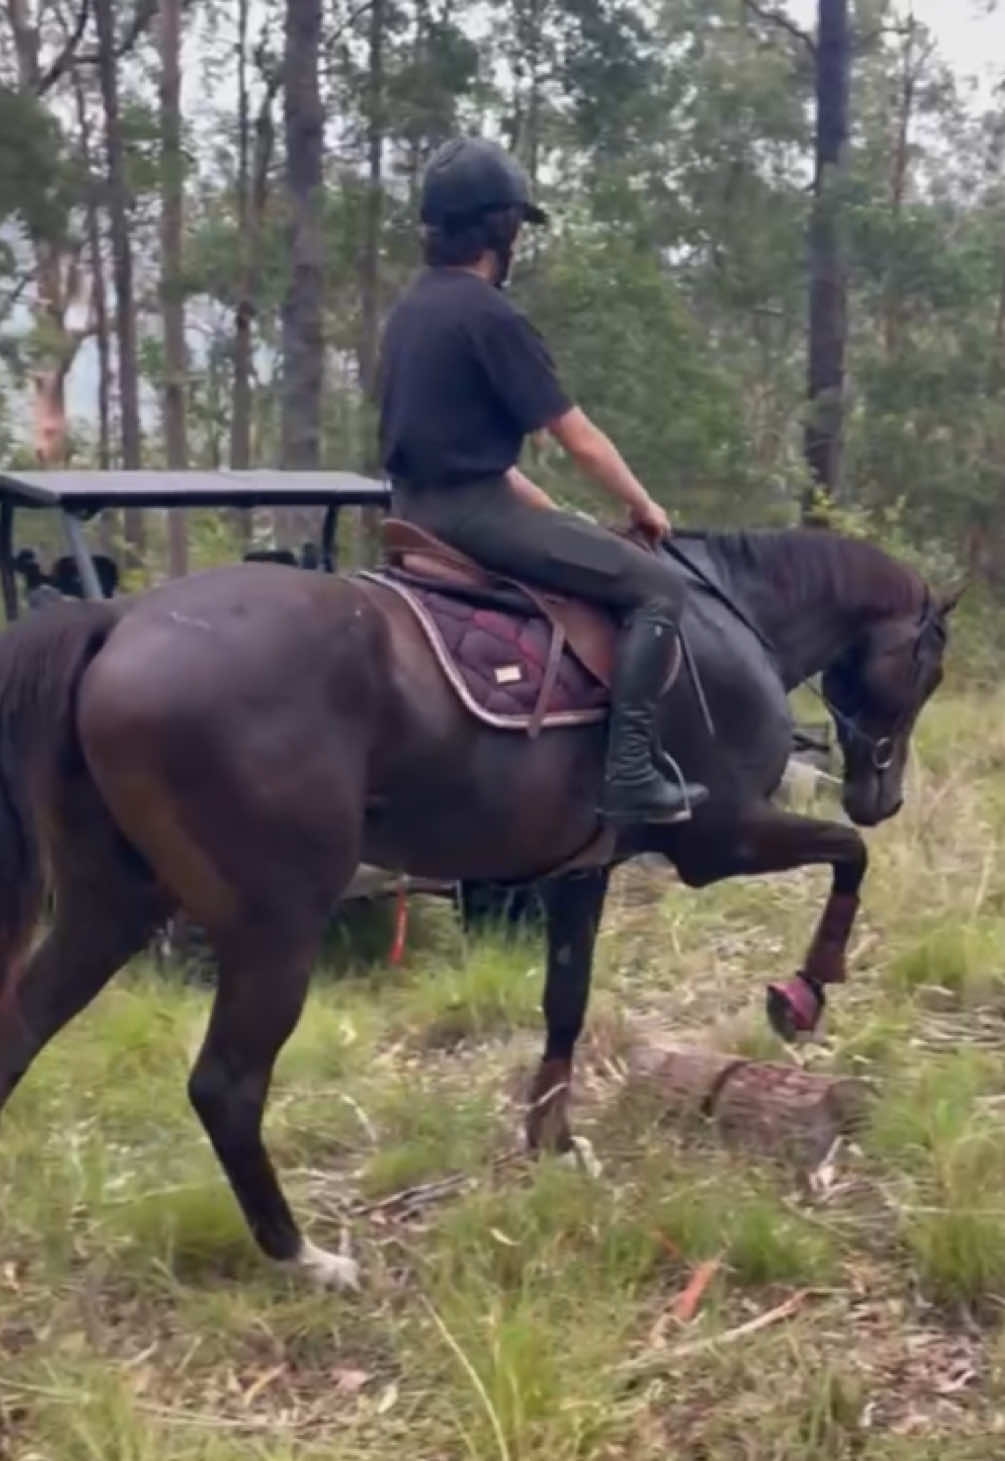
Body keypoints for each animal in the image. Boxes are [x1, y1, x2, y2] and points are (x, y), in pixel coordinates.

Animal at [0, 527, 953, 1288]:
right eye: (926, 667)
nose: (884, 797)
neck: (733, 618)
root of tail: (120, 619)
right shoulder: (721, 842)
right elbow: (848, 857)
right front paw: (804, 991)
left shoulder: (580, 874)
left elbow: (565, 1002)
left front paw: (552, 1142)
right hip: (273, 924)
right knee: (226, 1087)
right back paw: (303, 1257)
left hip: (112, 905)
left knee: (23, 1029)